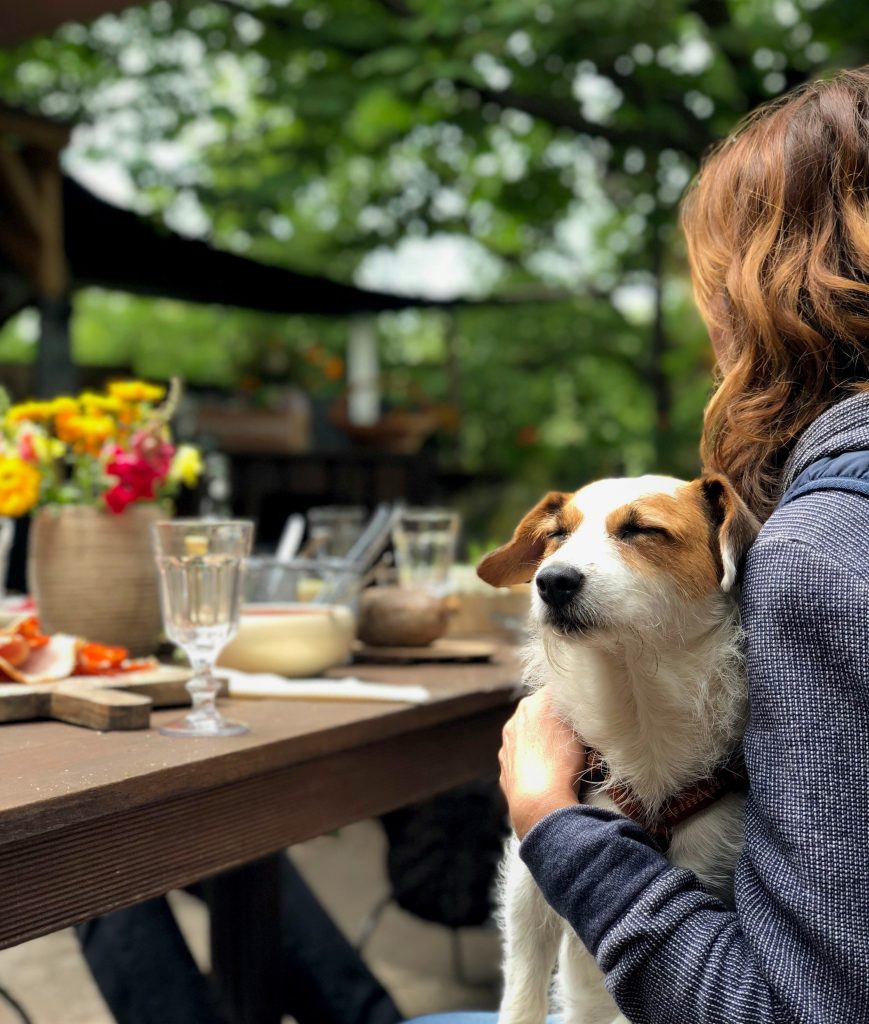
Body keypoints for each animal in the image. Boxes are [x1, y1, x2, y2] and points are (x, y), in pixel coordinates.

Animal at [474, 471, 761, 1024]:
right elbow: (523, 980)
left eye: (642, 529)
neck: (634, 697)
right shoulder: (525, 883)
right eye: (556, 535)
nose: (552, 580)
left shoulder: (705, 865)